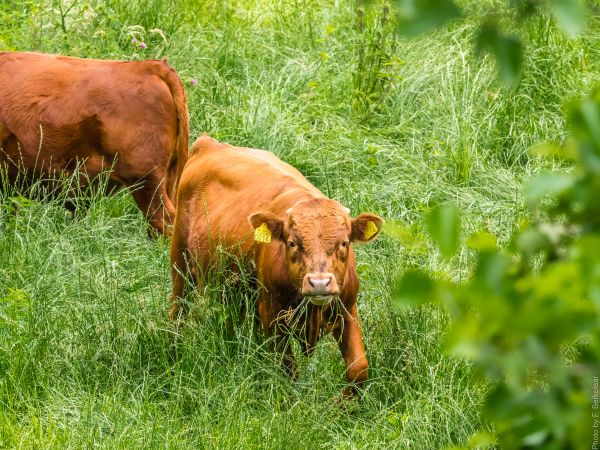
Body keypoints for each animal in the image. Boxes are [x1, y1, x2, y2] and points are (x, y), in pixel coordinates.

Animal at [171, 135, 382, 396]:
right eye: (292, 243)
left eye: (344, 243)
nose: (319, 283)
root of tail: (210, 144)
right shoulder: (272, 316)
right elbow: (288, 369)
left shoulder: (348, 310)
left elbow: (358, 368)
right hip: (180, 261)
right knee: (178, 309)